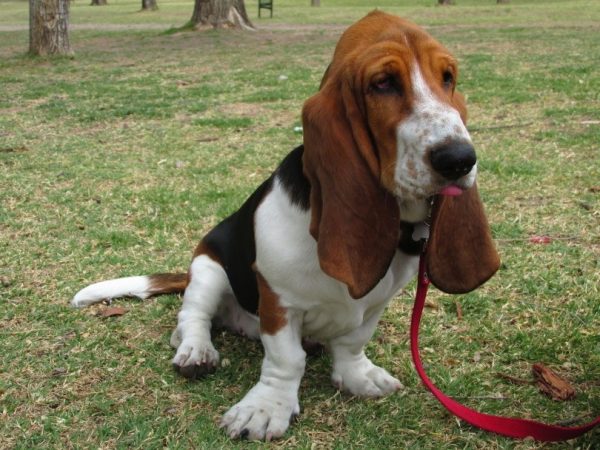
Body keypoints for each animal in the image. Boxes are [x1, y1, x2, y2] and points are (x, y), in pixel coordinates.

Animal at [72, 12, 500, 442]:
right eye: (383, 83)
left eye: (448, 78)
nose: (459, 159)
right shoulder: (278, 303)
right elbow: (286, 359)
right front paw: (265, 409)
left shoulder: (375, 304)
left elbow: (352, 342)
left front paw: (357, 377)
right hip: (208, 267)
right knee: (192, 318)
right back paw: (196, 352)